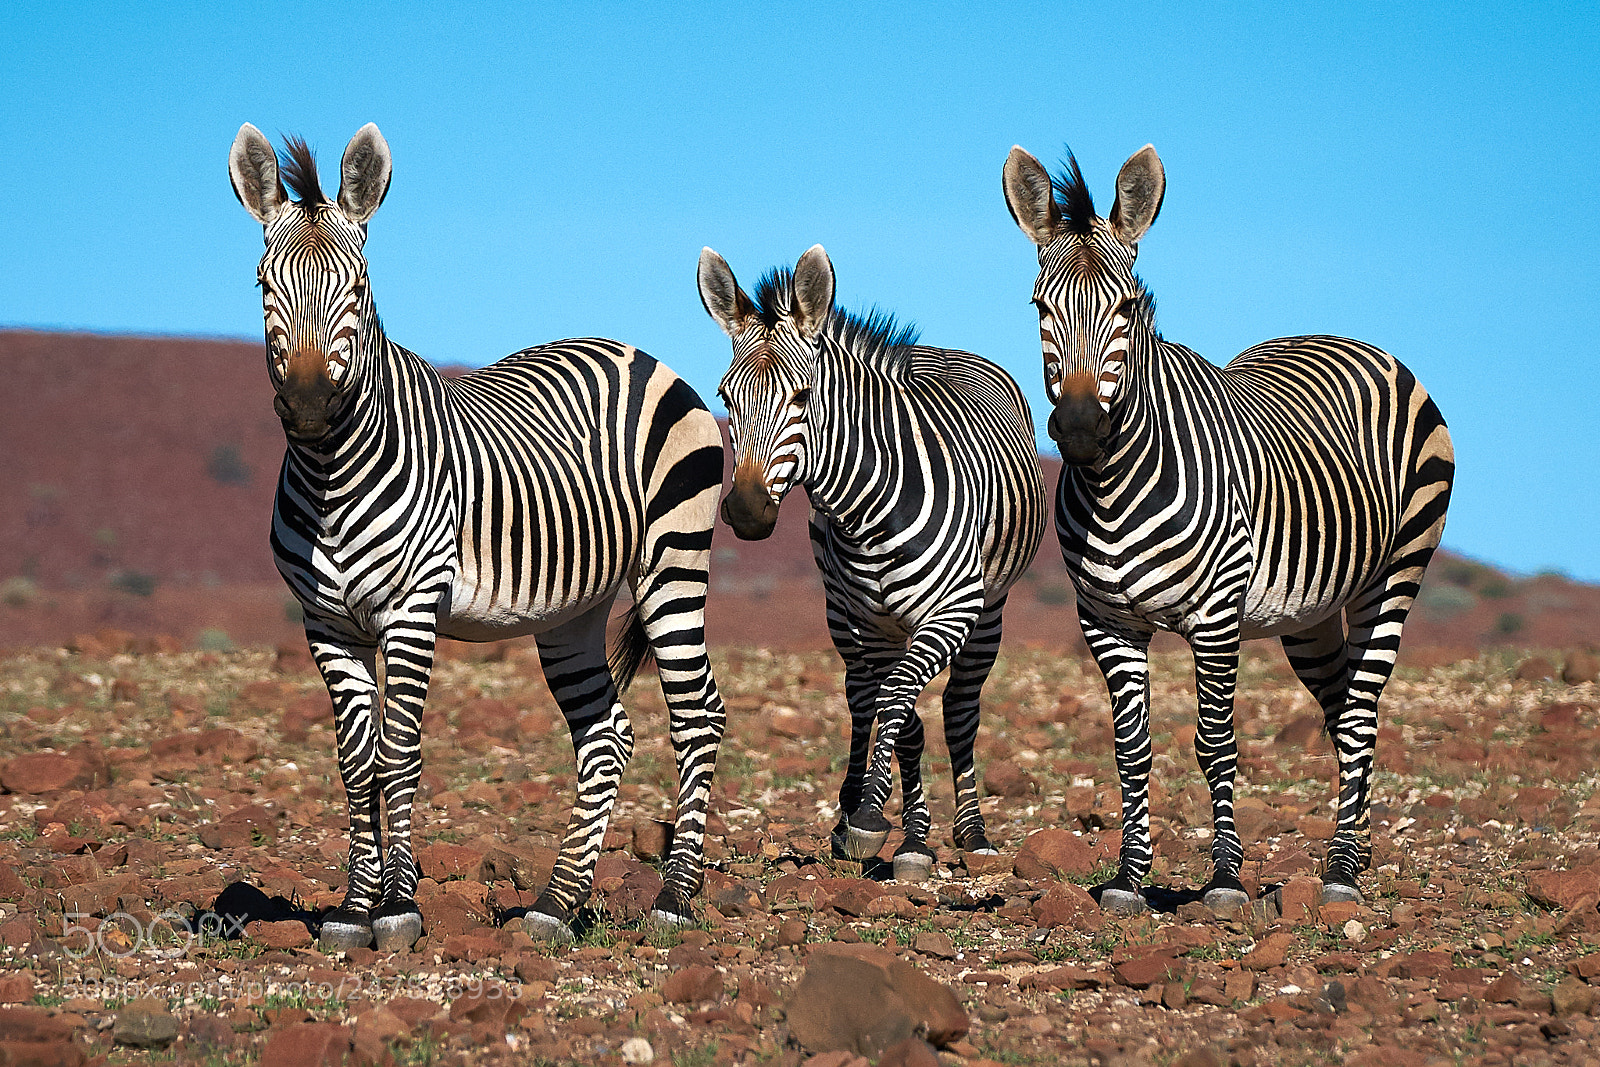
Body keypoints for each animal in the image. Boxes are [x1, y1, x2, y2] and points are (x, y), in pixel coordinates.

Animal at [228, 123, 728, 949]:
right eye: (265, 286)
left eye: (358, 291)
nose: (307, 404)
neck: (333, 471)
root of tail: (636, 350)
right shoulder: (325, 623)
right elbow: (353, 761)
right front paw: (351, 909)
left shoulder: (410, 608)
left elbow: (397, 753)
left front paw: (398, 909)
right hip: (572, 609)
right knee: (607, 736)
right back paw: (555, 902)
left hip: (674, 565)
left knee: (698, 718)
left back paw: (674, 898)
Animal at [698, 245, 1046, 878]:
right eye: (725, 397)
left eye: (802, 397)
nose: (748, 512)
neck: (867, 512)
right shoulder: (863, 622)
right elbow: (890, 711)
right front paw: (880, 821)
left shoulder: (952, 611)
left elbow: (907, 704)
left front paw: (875, 818)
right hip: (857, 622)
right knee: (874, 702)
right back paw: (888, 822)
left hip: (990, 610)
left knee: (957, 710)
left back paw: (971, 833)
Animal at [1002, 144, 1454, 913]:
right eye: (1040, 307)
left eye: (1127, 306)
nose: (1083, 428)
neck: (1113, 487)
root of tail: (1342, 336)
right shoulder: (1106, 620)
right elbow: (1132, 748)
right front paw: (1130, 878)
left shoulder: (1216, 615)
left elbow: (1215, 744)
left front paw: (1223, 880)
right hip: (1311, 609)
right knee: (1341, 711)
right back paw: (1356, 851)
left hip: (1397, 572)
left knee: (1362, 711)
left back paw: (1340, 871)